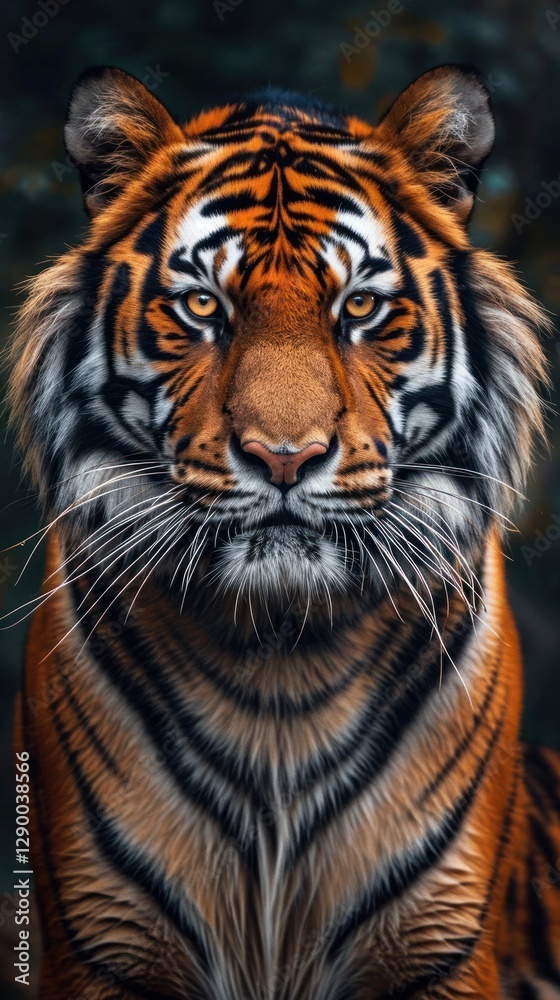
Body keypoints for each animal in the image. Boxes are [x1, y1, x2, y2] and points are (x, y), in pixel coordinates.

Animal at [7, 62, 560, 999]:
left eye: (361, 308)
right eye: (202, 306)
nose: (284, 455)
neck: (280, 664)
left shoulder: (438, 944)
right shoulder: (104, 940)